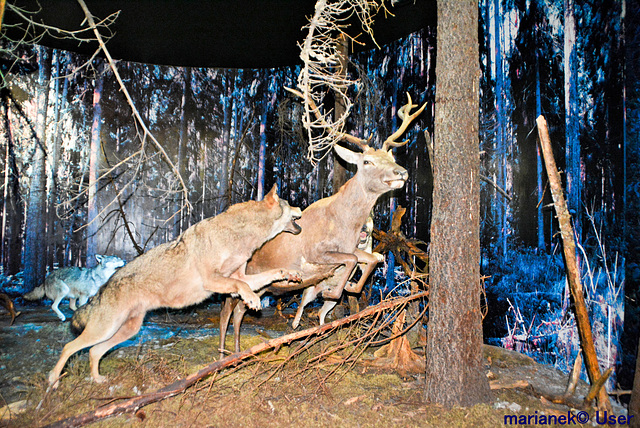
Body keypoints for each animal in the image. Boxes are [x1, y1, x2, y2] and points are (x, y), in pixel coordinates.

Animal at [47, 186, 302, 390]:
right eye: (289, 203)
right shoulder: (213, 280)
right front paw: (253, 300)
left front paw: (289, 274)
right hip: (105, 329)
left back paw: (98, 380)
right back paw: (53, 380)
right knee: (70, 347)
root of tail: (104, 286)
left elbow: (269, 274)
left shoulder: (239, 276)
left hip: (125, 331)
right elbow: (241, 286)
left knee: (94, 351)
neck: (240, 234)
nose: (301, 206)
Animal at [220, 93, 424, 354]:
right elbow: (352, 260)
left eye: (391, 157)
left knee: (239, 312)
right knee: (227, 311)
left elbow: (368, 259)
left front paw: (349, 287)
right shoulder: (314, 251)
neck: (344, 224)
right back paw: (222, 352)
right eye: (367, 161)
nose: (401, 172)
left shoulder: (351, 248)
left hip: (260, 285)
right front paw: (332, 290)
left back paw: (237, 351)